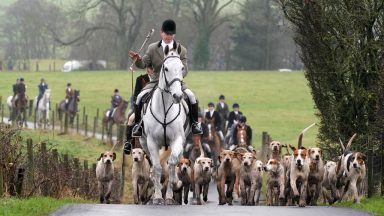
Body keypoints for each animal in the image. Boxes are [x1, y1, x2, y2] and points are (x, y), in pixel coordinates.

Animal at [140, 43, 190, 204]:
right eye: (166, 68)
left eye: (182, 67)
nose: (178, 96)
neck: (165, 109)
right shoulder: (152, 142)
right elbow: (157, 167)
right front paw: (157, 196)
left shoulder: (177, 139)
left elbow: (172, 164)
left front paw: (169, 194)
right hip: (144, 142)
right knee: (152, 162)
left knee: (176, 161)